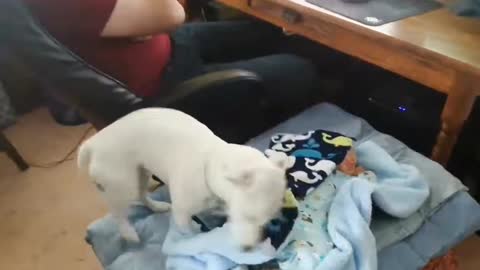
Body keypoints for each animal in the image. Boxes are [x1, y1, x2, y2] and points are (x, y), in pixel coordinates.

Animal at [79, 107, 288, 249]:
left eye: (268, 220)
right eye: (247, 216)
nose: (248, 248)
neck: (208, 164)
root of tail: (92, 143)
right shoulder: (182, 216)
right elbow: (191, 233)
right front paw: (196, 238)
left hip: (141, 172)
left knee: (142, 195)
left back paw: (157, 206)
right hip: (123, 184)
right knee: (118, 212)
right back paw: (128, 232)